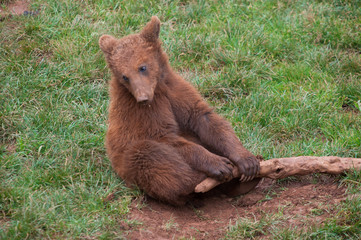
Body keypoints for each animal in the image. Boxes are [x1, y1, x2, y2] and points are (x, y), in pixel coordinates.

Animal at [98, 15, 258, 205]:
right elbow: (166, 137)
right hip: (126, 163)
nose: (143, 98)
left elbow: (207, 120)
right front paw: (219, 164)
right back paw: (198, 181)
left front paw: (247, 161)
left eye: (142, 67)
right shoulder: (143, 112)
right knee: (150, 156)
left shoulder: (176, 92)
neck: (157, 87)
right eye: (125, 76)